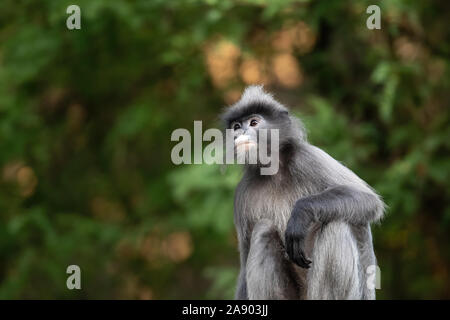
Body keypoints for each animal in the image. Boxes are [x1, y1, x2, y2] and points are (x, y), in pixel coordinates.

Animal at [220, 85, 384, 300]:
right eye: (237, 126)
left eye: (254, 122)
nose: (240, 133)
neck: (273, 172)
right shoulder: (242, 192)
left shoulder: (306, 157)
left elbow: (368, 199)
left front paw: (300, 214)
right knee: (263, 229)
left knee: (337, 224)